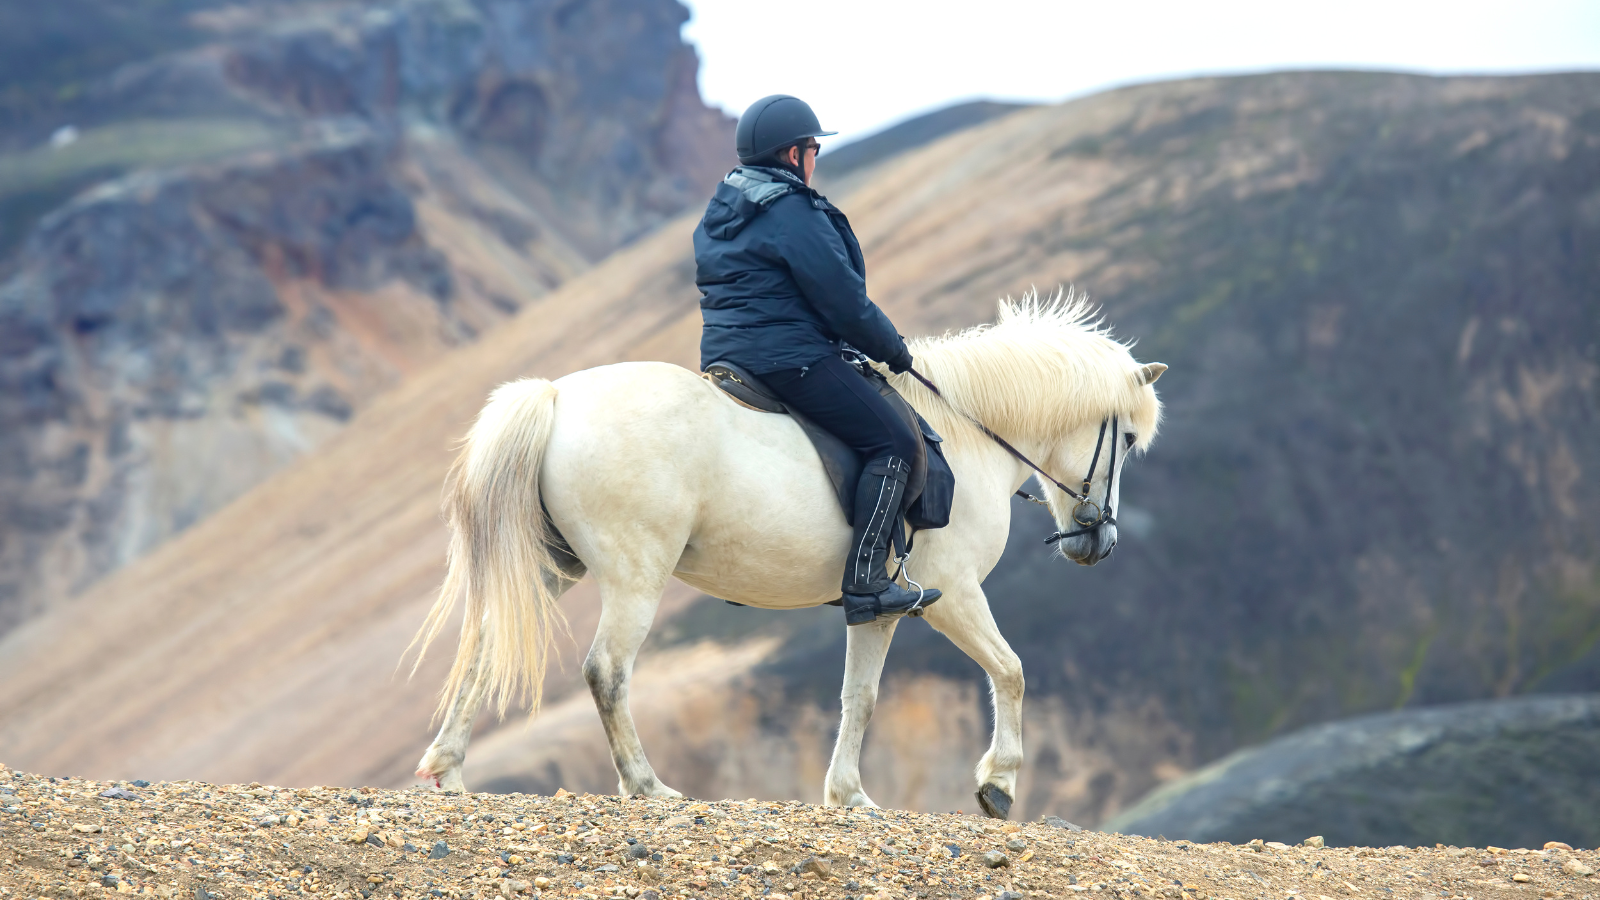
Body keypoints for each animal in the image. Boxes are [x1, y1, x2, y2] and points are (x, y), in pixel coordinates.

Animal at [408, 291, 1166, 818]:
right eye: (1127, 439)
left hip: (552, 568)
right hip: (635, 575)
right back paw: (648, 786)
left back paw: (447, 768)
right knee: (607, 672)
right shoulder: (954, 593)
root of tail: (558, 396)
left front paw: (849, 794)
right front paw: (998, 784)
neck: (967, 431)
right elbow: (1010, 671)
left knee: (483, 647)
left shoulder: (882, 606)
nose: (1099, 541)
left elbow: (860, 696)